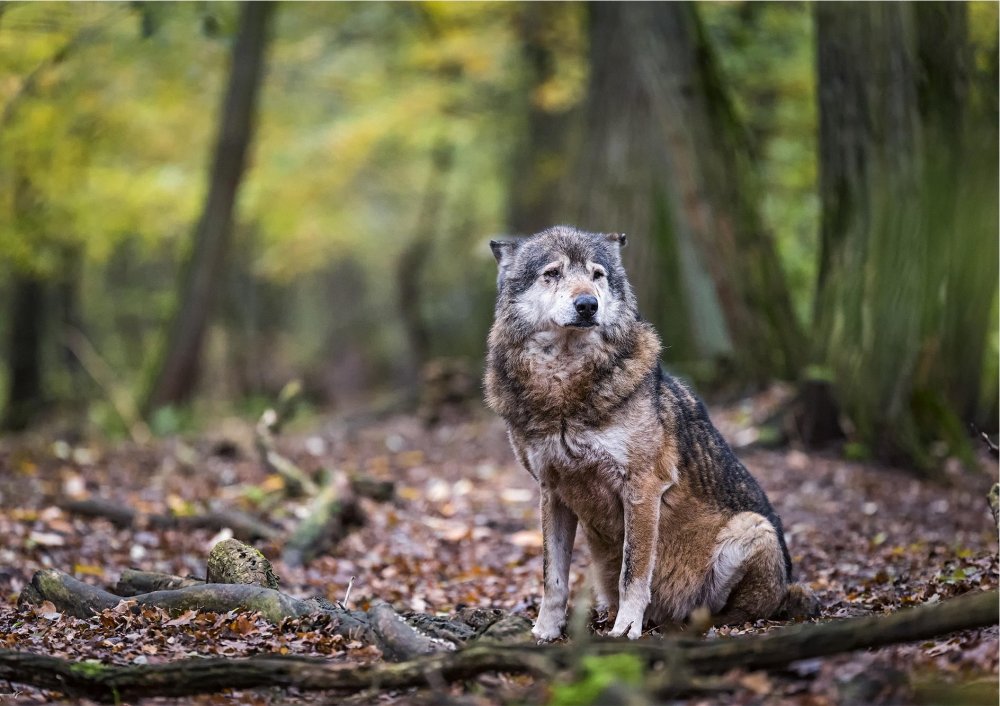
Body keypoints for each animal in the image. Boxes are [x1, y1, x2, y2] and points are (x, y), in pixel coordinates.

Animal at [484, 224, 820, 640]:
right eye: (552, 273)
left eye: (597, 275)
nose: (587, 305)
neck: (564, 388)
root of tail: (788, 586)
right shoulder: (552, 491)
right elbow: (553, 577)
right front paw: (545, 630)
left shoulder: (642, 486)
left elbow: (634, 570)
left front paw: (627, 627)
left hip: (753, 529)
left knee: (735, 611)